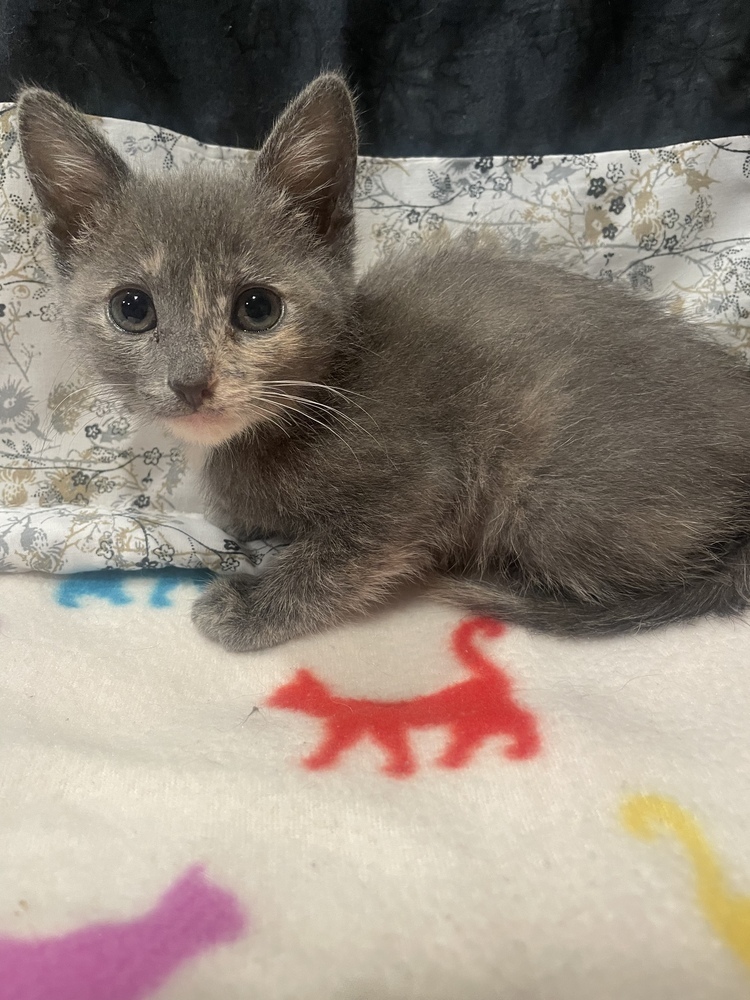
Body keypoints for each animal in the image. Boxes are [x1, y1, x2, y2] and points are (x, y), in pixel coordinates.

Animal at [16, 72, 750, 648]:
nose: (191, 382)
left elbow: (348, 556)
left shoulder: (424, 480)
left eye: (257, 308)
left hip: (546, 497)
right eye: (132, 309)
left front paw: (253, 605)